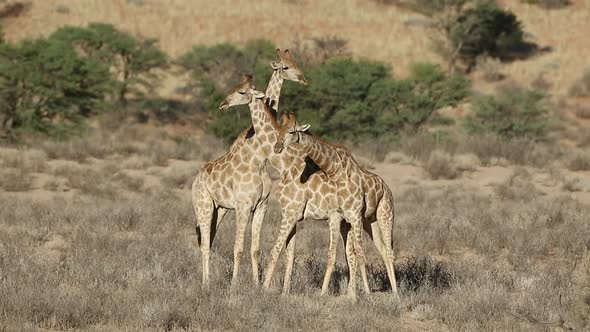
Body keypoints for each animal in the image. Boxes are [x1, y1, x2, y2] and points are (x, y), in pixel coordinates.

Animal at [192, 50, 308, 288]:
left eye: (295, 64)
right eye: (286, 67)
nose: (222, 104)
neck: (259, 161)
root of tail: (196, 179)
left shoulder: (260, 205)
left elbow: (255, 249)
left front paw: (255, 284)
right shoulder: (243, 206)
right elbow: (238, 248)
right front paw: (234, 286)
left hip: (220, 209)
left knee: (208, 240)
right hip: (203, 206)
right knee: (205, 243)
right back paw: (205, 283)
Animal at [270, 113, 400, 296]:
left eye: (291, 131)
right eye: (280, 130)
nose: (277, 147)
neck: (337, 172)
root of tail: (387, 188)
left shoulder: (353, 216)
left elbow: (358, 254)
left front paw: (364, 293)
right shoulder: (339, 217)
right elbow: (337, 254)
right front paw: (330, 293)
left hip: (385, 215)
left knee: (388, 251)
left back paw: (395, 293)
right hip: (370, 222)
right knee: (381, 249)